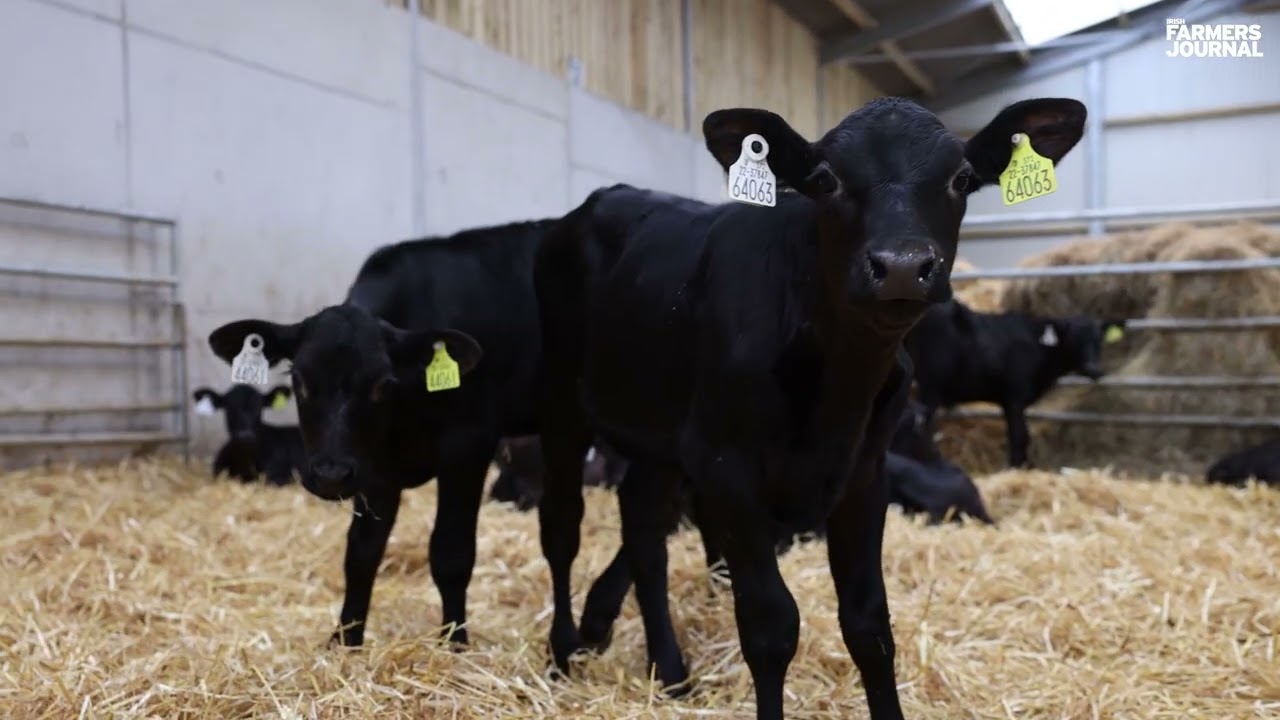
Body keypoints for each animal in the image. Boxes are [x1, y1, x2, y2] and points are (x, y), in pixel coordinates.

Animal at [205, 218, 554, 649]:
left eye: (383, 384)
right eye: (298, 379)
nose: (330, 475)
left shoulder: (469, 445)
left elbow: (451, 553)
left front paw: (454, 642)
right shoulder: (373, 468)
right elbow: (361, 552)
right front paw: (345, 640)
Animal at [531, 96, 1086, 720]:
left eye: (962, 179)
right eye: (825, 180)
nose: (901, 265)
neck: (836, 388)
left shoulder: (864, 474)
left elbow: (869, 624)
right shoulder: (727, 471)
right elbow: (771, 625)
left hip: (662, 436)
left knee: (645, 528)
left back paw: (669, 671)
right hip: (561, 400)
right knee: (562, 525)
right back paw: (562, 652)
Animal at [904, 298, 1125, 468]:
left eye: (1099, 339)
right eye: (1073, 339)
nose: (1093, 369)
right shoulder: (1014, 397)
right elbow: (1020, 435)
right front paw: (1017, 466)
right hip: (931, 387)